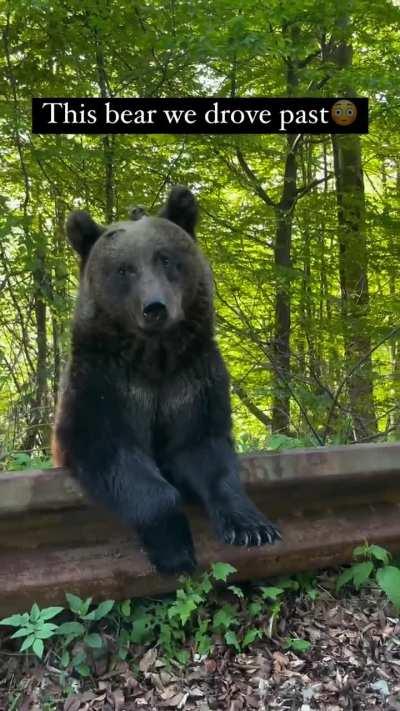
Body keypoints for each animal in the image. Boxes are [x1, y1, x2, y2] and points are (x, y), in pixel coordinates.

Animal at [52, 186, 281, 575]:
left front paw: (253, 527)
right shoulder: (105, 383)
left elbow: (204, 449)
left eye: (166, 258)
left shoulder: (190, 378)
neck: (154, 357)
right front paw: (174, 549)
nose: (155, 308)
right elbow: (111, 451)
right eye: (124, 269)